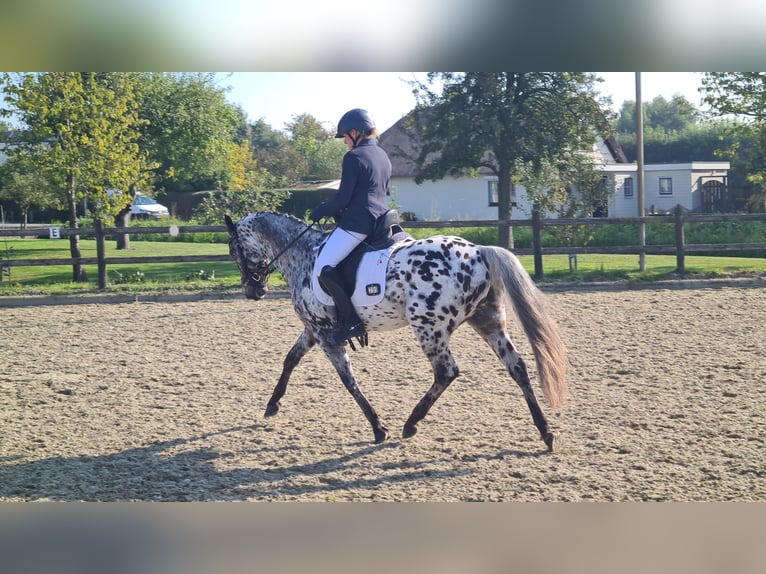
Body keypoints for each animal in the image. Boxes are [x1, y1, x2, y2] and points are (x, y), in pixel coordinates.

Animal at [225, 211, 568, 452]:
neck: (303, 254)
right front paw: (272, 405)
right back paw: (546, 433)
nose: (253, 291)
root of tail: (480, 252)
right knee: (517, 367)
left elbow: (347, 380)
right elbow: (290, 359)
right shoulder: (314, 329)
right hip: (488, 320)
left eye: (232, 250)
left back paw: (410, 424)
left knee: (447, 371)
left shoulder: (324, 335)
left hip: (428, 326)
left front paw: (378, 428)